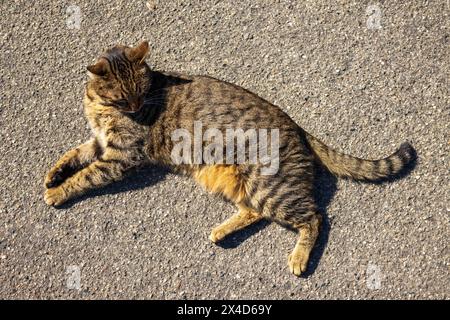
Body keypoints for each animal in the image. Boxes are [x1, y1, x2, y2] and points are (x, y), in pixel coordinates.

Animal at [44, 40, 416, 276]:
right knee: (254, 211)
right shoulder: (100, 143)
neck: (98, 105)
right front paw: (53, 174)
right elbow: (72, 155)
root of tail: (294, 124)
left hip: (272, 188)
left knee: (315, 217)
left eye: (141, 92)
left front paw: (58, 192)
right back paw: (221, 232)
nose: (136, 107)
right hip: (234, 182)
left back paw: (298, 257)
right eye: (124, 98)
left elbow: (85, 175)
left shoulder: (122, 155)